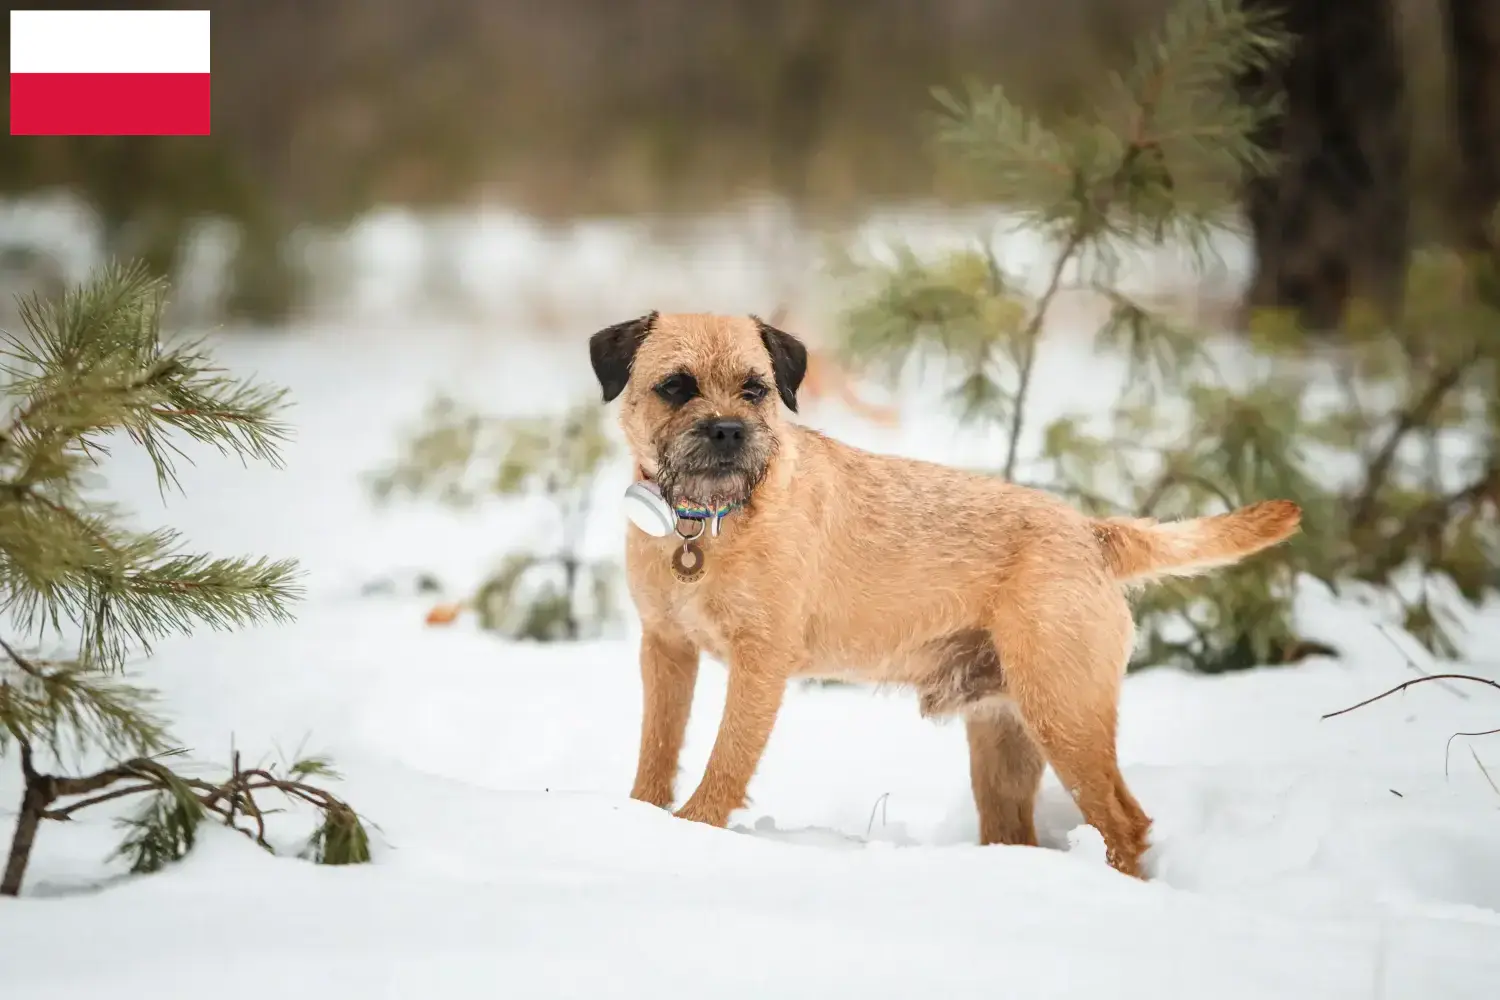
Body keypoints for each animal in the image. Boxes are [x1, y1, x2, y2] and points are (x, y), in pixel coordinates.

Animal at [588, 310, 1302, 875]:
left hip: (1065, 715)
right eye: (676, 387)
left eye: (754, 390)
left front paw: (693, 830)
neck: (704, 522)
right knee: (1022, 832)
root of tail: (1092, 532)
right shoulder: (666, 649)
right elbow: (658, 748)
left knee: (1126, 822)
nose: (729, 431)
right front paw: (642, 816)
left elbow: (727, 758)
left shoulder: (760, 663)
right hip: (1005, 740)